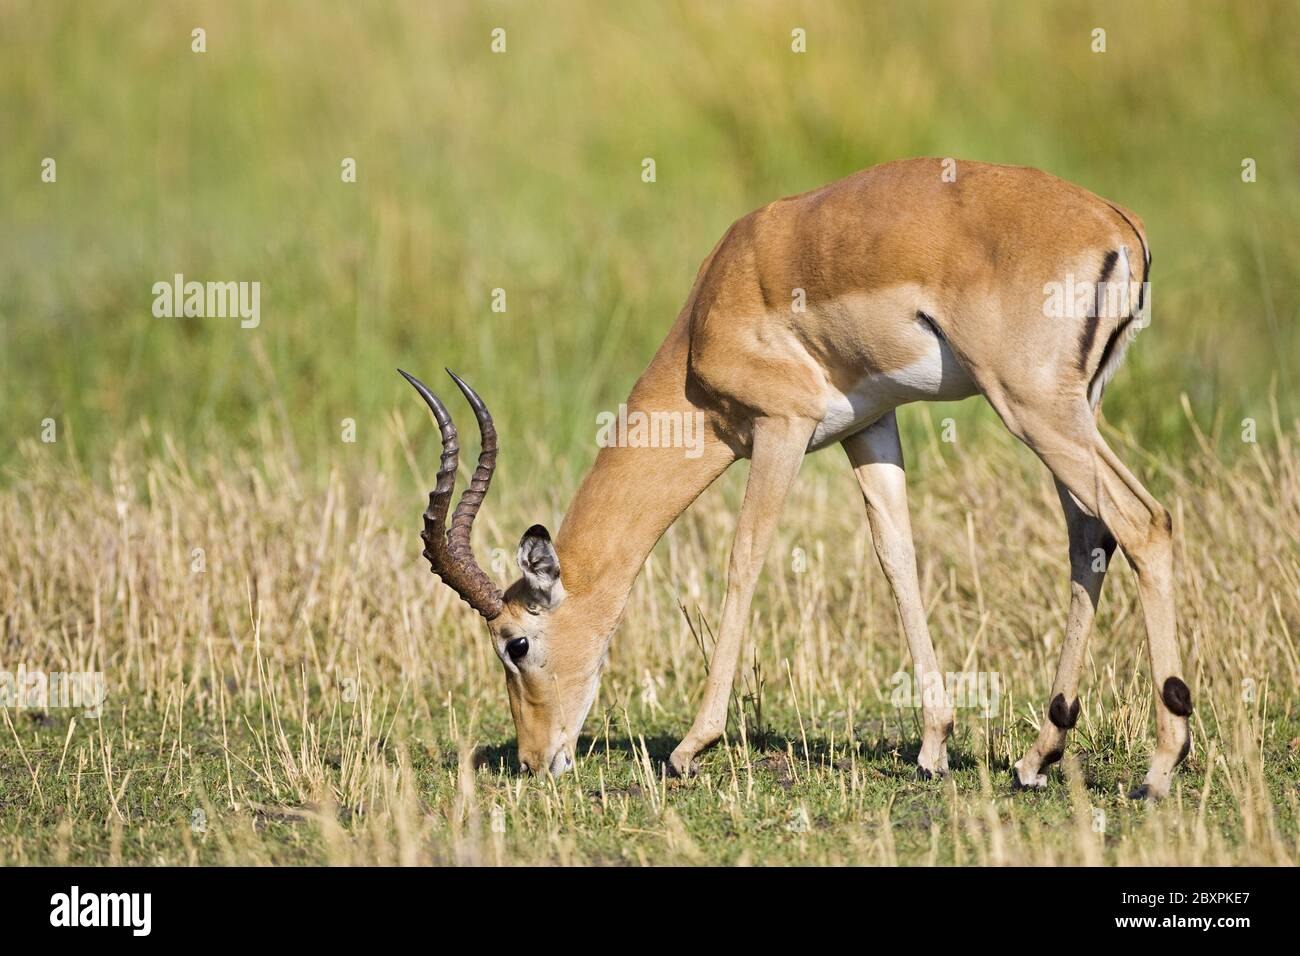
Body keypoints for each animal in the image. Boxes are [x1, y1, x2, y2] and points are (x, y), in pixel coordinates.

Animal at [400, 157, 1190, 801]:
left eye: (515, 644)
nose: (537, 761)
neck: (712, 312)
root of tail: (1119, 224)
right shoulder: (870, 426)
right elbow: (897, 557)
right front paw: (934, 746)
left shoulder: (781, 428)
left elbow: (744, 559)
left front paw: (690, 748)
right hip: (1071, 410)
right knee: (1091, 539)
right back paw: (1037, 758)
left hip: (1032, 408)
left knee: (1143, 522)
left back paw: (1159, 767)